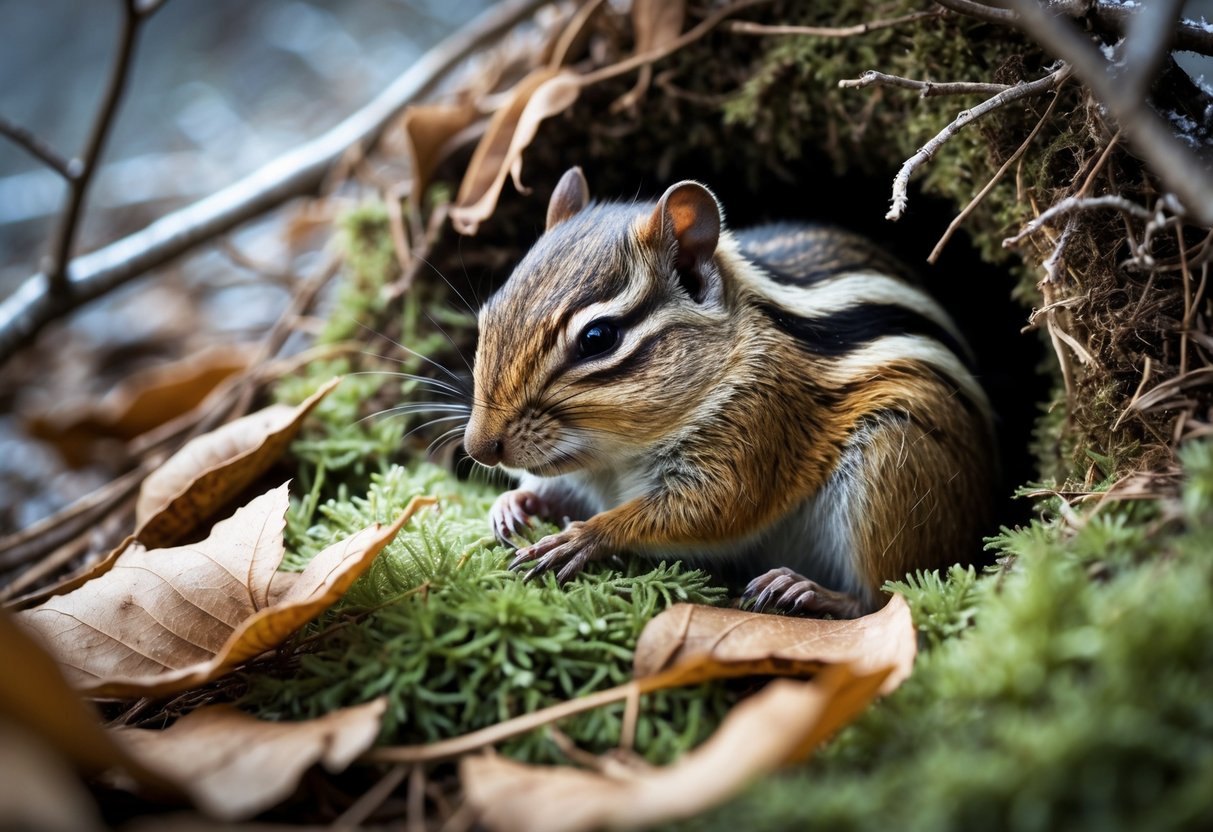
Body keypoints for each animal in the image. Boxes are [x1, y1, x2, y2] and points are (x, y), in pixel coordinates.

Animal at [462, 167, 996, 618]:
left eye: (598, 338)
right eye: (488, 313)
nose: (479, 448)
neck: (614, 458)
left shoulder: (759, 430)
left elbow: (712, 509)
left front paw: (582, 537)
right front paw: (512, 505)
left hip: (892, 465)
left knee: (881, 596)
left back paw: (807, 591)